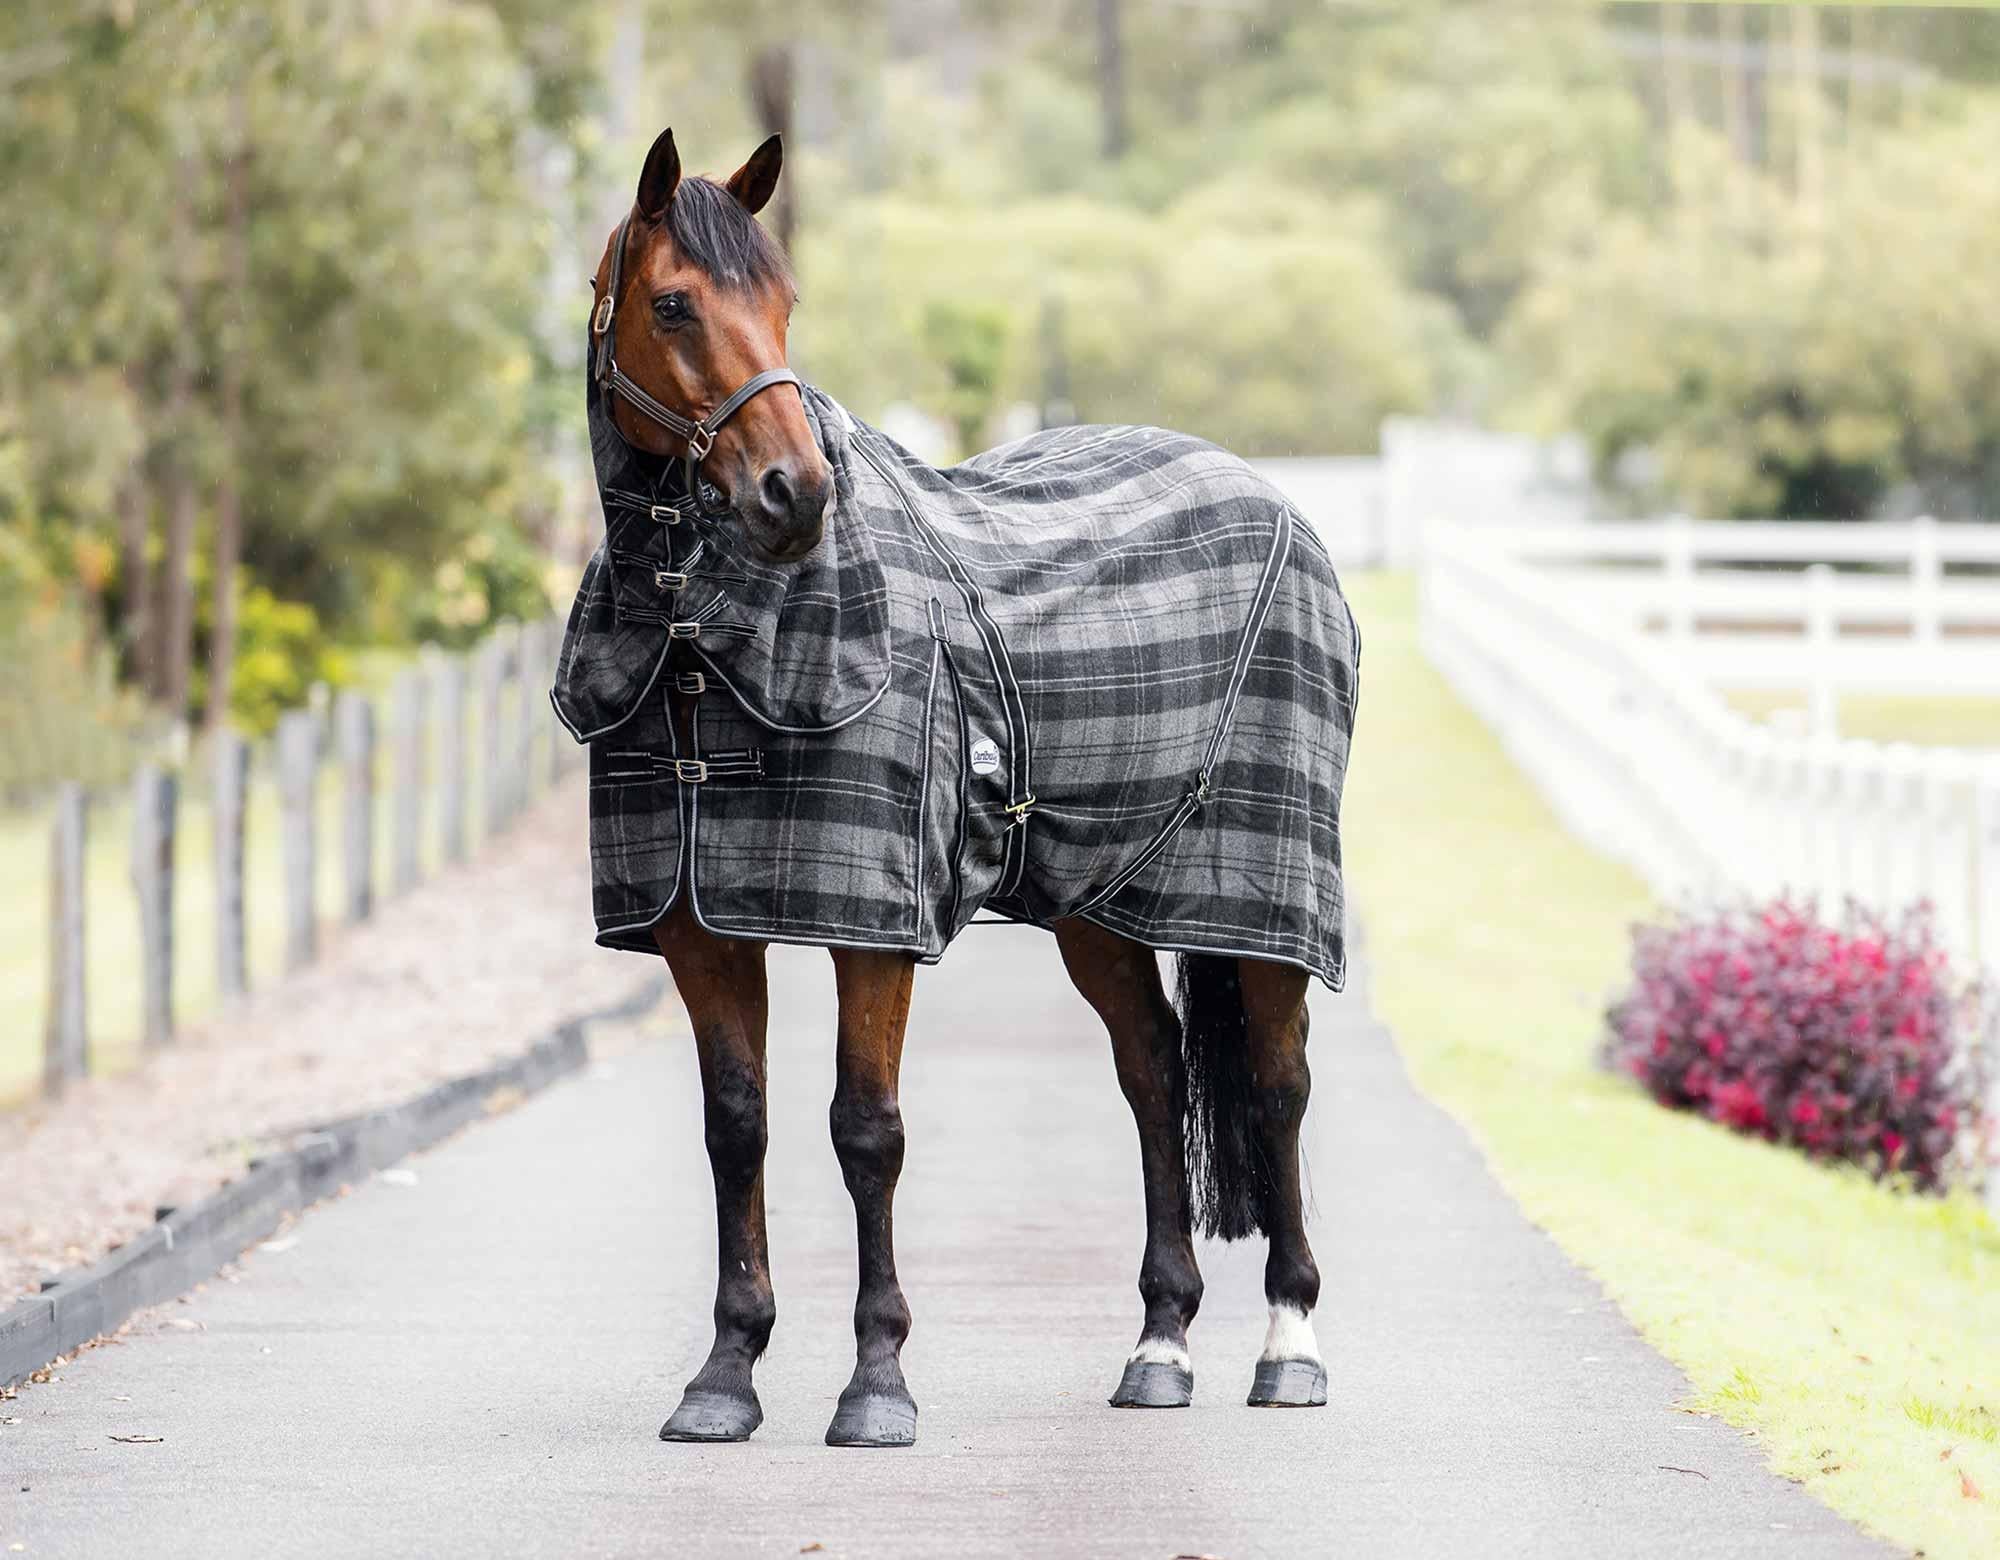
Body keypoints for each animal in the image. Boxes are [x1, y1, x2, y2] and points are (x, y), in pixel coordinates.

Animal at [557, 127, 1359, 1449]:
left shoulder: (872, 931)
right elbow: (739, 1128)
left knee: (1277, 1085)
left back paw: (1289, 1343)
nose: (793, 495)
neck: (702, 650)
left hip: (1263, 906)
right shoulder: (699, 930)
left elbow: (863, 1130)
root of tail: (1276, 499)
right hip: (1098, 909)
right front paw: (724, 1374)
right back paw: (1158, 1344)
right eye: (672, 303)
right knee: (1152, 1074)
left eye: (783, 301)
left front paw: (876, 1381)